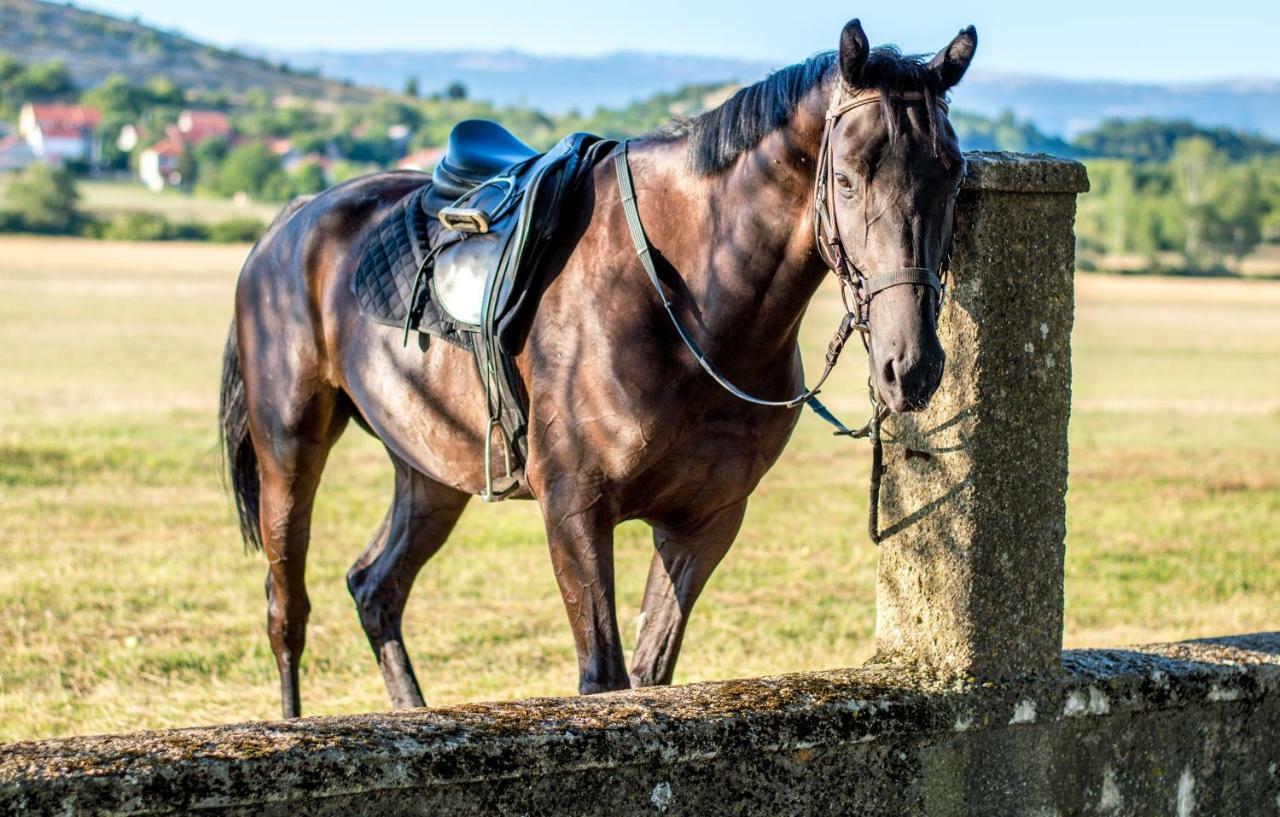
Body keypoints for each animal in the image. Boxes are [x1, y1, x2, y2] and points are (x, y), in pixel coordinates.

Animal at [222, 19, 977, 722]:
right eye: (845, 178)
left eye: (953, 176)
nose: (910, 366)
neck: (693, 306)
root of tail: (291, 221)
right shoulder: (575, 510)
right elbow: (603, 681)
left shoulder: (706, 522)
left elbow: (651, 673)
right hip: (290, 450)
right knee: (286, 610)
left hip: (430, 469)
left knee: (376, 587)